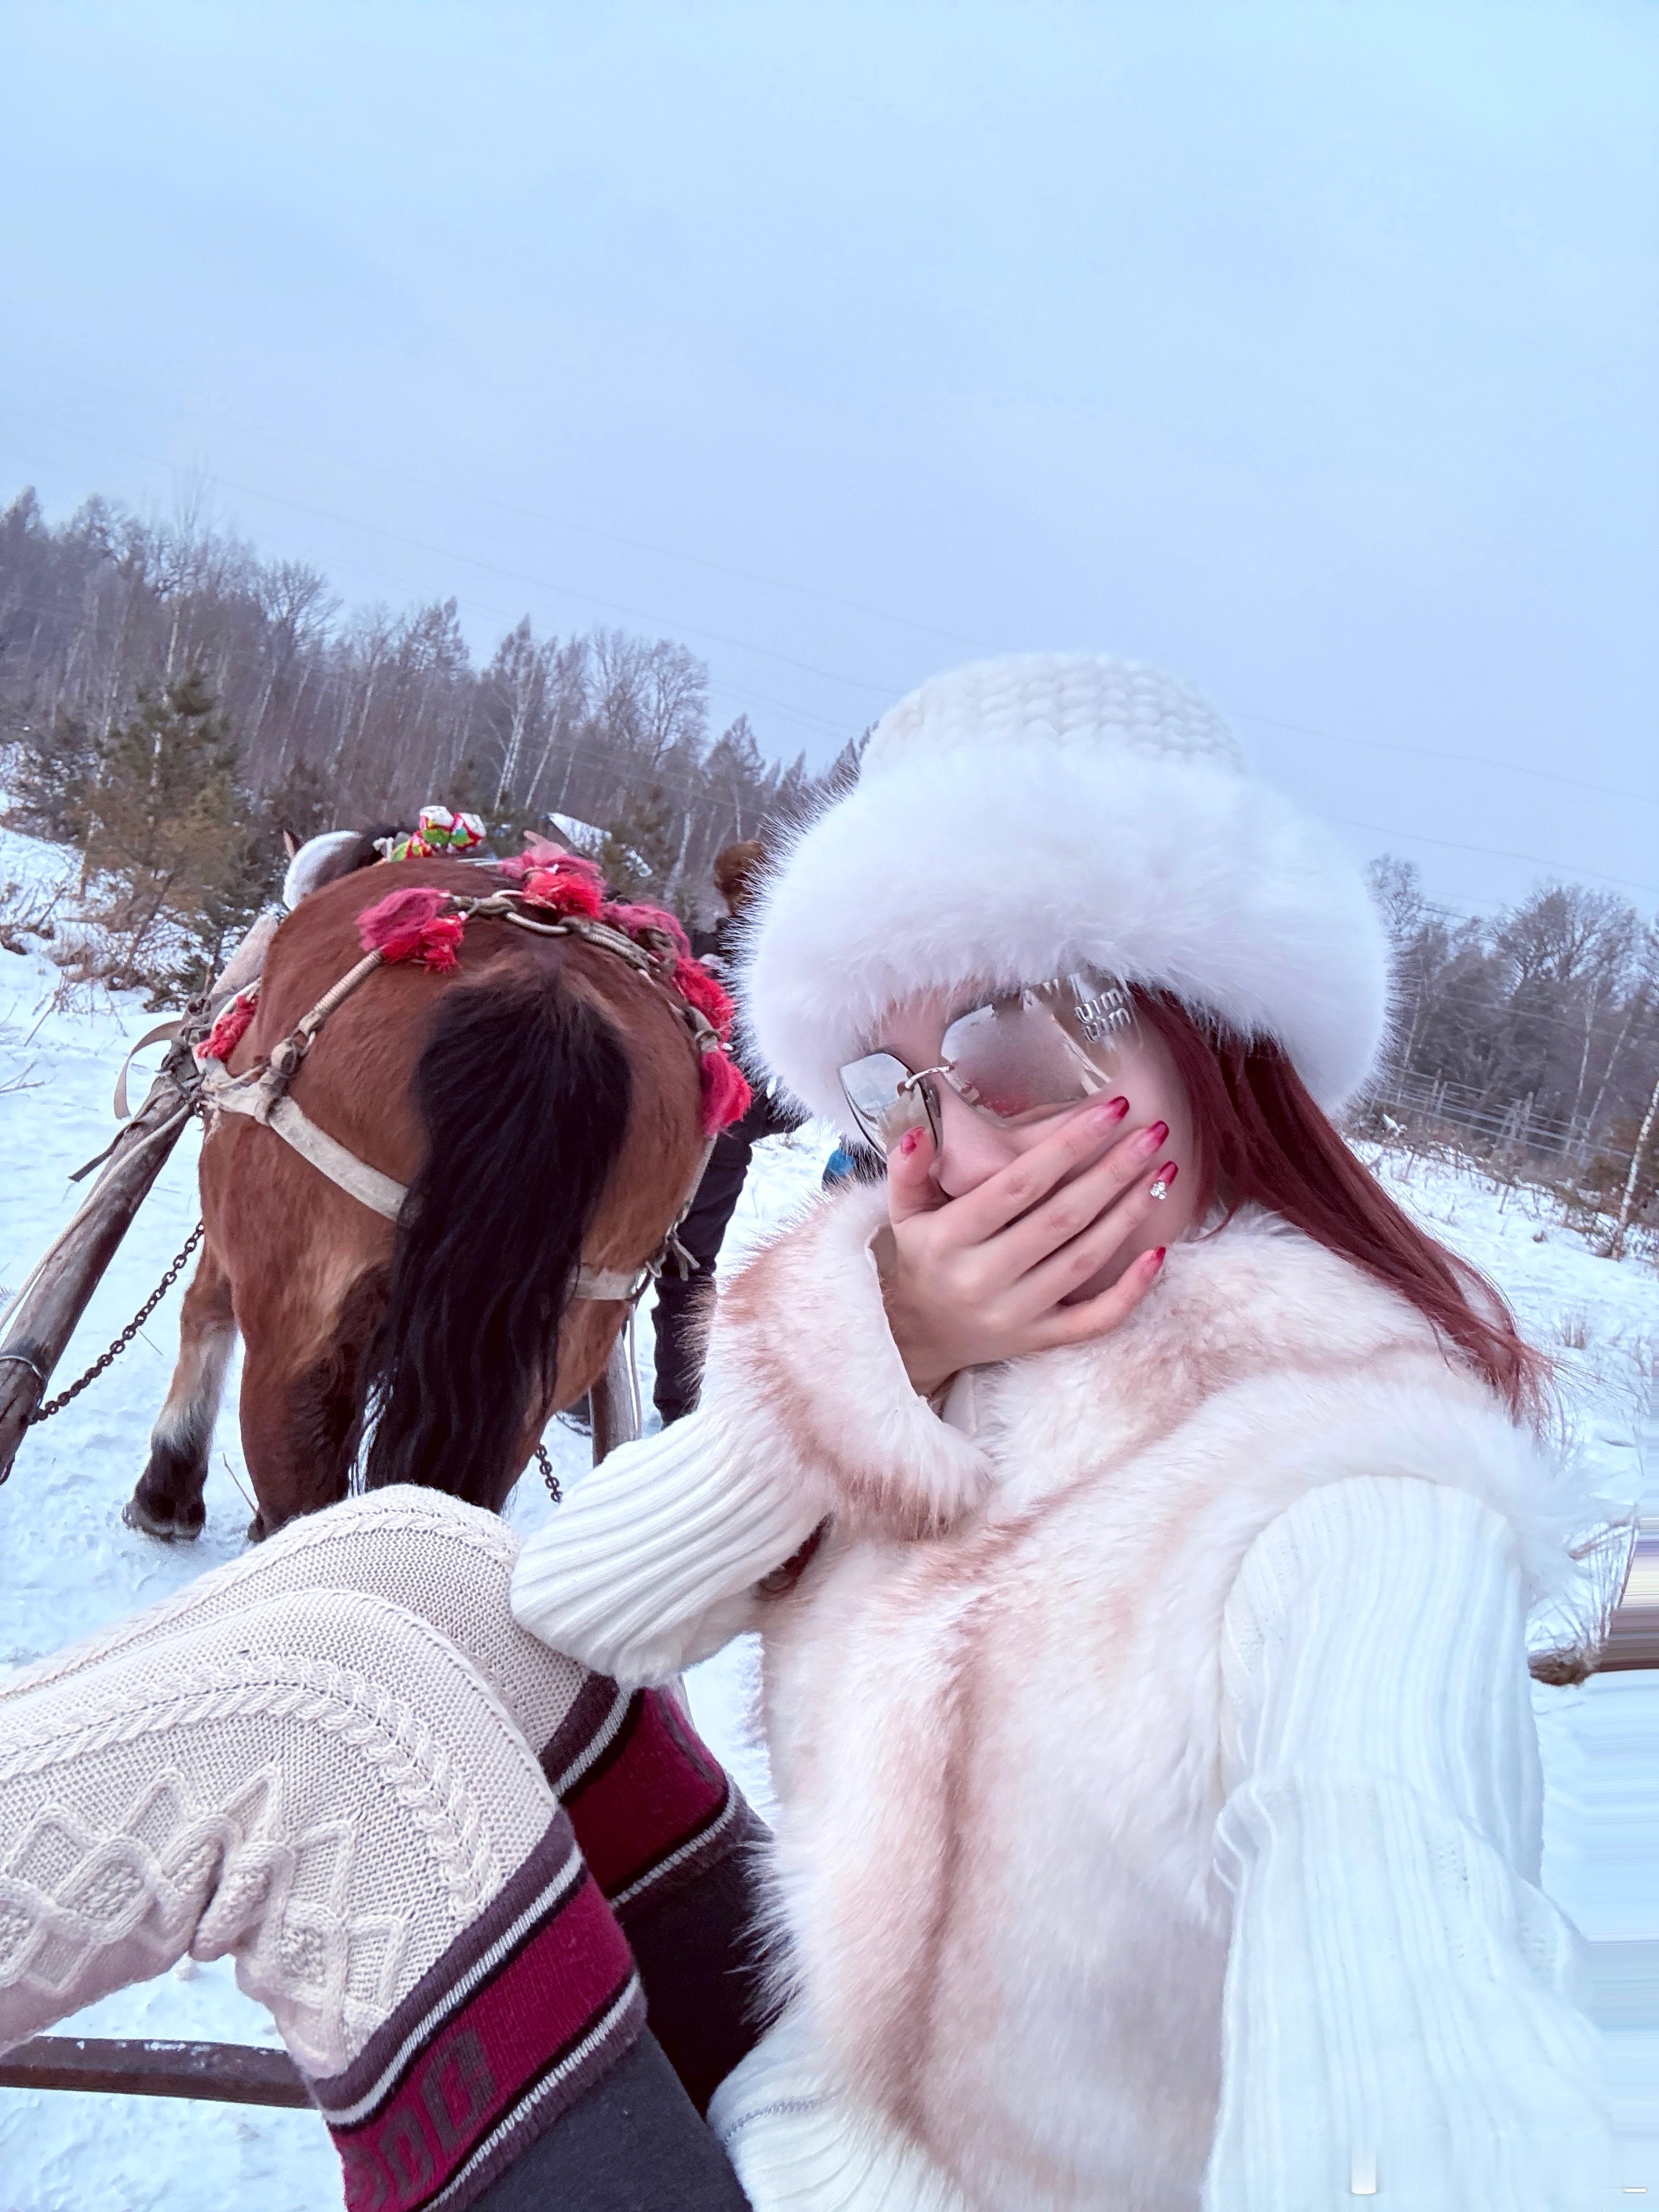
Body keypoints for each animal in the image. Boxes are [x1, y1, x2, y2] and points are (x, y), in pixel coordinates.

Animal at [125, 858, 708, 1539]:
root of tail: (545, 994)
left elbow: (202, 1306)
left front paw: (168, 1487)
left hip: (295, 1325)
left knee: (298, 1486)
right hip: (558, 1346)